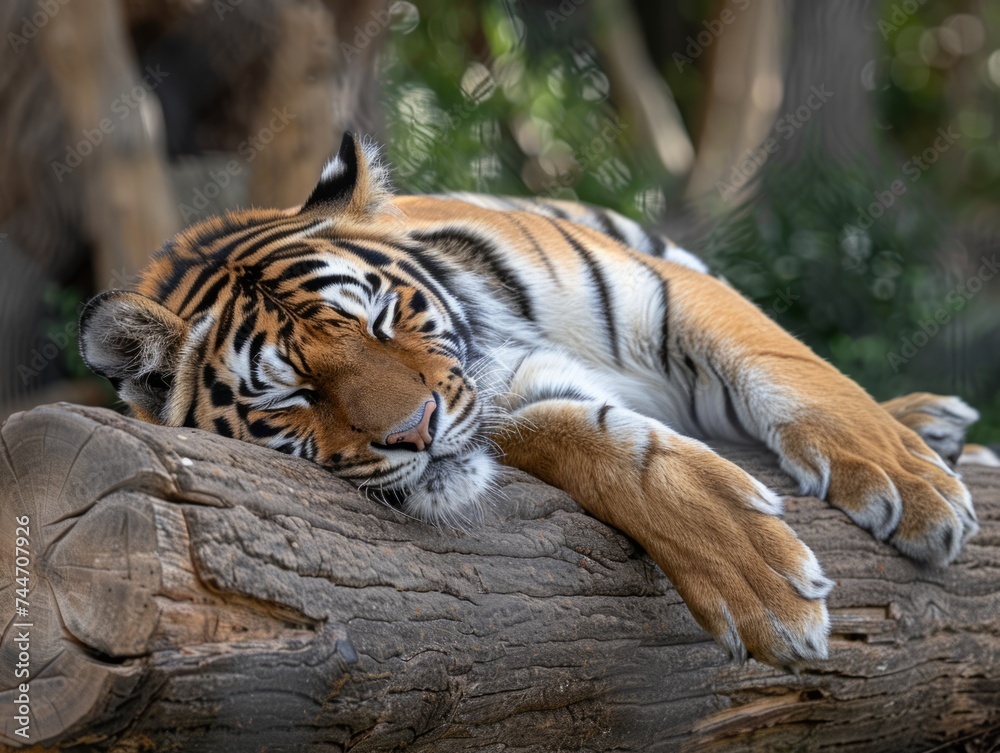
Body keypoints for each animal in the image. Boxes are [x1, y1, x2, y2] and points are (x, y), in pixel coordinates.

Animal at [79, 132, 981, 668]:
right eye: (294, 395)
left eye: (379, 319)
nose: (415, 432)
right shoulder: (508, 399)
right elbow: (620, 454)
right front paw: (760, 582)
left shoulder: (666, 292)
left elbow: (790, 366)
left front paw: (914, 488)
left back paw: (932, 425)